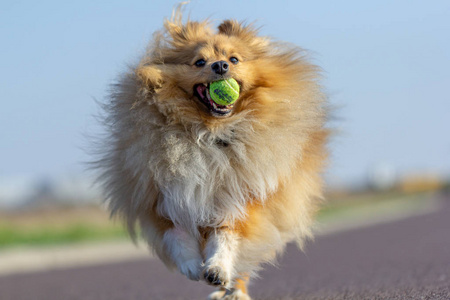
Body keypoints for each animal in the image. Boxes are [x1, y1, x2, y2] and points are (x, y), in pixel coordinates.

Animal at [95, 9, 326, 300]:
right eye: (199, 62)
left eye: (234, 59)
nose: (220, 66)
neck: (209, 134)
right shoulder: (162, 196)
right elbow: (176, 232)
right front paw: (192, 265)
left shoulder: (243, 196)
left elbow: (226, 235)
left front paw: (217, 268)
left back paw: (234, 291)